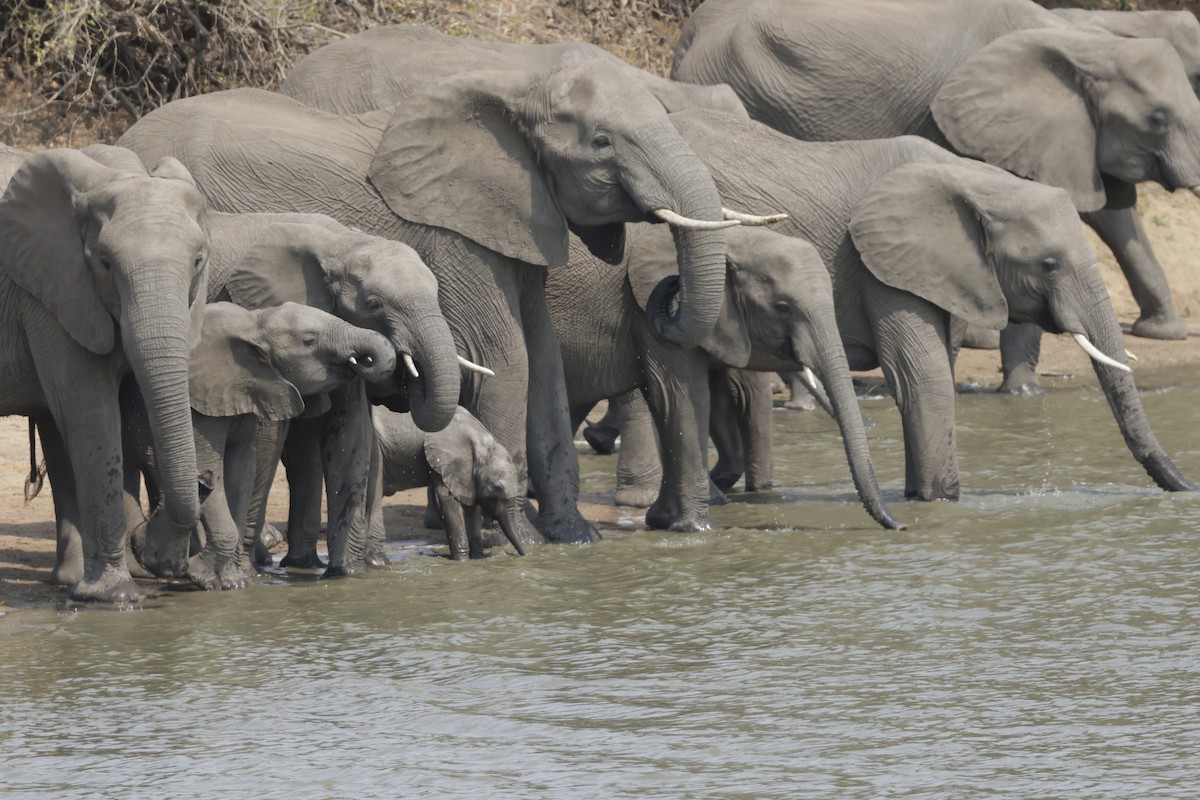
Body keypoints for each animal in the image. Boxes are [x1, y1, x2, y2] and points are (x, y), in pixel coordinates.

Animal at [0, 145, 208, 602]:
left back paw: (69, 579)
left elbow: (137, 409)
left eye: (199, 261)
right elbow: (91, 412)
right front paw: (116, 597)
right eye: (106, 263)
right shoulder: (50, 291)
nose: (143, 540)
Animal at [122, 301, 397, 590]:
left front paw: (233, 580)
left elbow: (242, 470)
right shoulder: (198, 406)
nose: (362, 360)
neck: (254, 322)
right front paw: (208, 578)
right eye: (310, 340)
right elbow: (208, 466)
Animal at [373, 405, 528, 561]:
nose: (526, 555)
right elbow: (447, 501)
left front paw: (477, 558)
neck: (480, 438)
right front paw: (463, 561)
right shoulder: (445, 461)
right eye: (497, 488)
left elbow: (471, 508)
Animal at [550, 223, 903, 532]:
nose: (900, 525)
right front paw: (700, 528)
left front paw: (663, 520)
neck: (729, 236)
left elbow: (672, 400)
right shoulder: (647, 312)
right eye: (782, 307)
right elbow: (682, 395)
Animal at [656, 110, 1197, 501]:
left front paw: (922, 498)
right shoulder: (878, 263)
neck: (974, 179)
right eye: (1048, 264)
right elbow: (924, 376)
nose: (1188, 489)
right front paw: (939, 502)